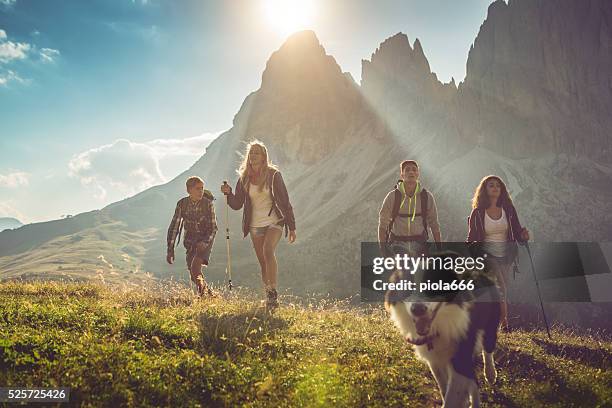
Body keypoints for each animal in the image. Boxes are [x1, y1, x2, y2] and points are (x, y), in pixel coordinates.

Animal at [384, 252, 500, 408]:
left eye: (434, 286)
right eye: (407, 287)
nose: (418, 309)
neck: (439, 326)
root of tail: (480, 272)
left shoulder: (460, 356)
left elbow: (452, 396)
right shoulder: (435, 360)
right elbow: (444, 389)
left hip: (491, 324)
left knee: (488, 348)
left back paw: (490, 373)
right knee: (473, 381)